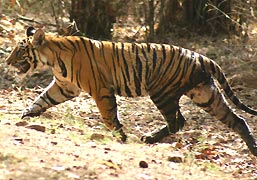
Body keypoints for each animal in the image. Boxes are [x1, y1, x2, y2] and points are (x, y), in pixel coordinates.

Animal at [4, 26, 256, 156]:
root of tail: (202, 57)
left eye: (19, 51)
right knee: (237, 119)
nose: (6, 61)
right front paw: (26, 114)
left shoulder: (100, 90)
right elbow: (42, 98)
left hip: (163, 92)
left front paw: (121, 137)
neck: (53, 59)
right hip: (205, 94)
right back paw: (253, 149)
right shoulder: (65, 87)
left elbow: (109, 116)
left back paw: (149, 138)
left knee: (177, 121)